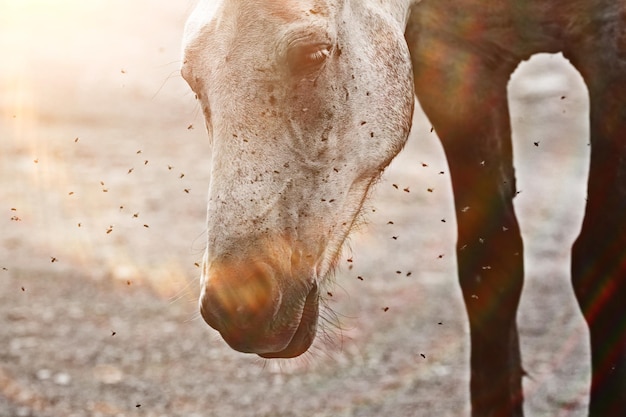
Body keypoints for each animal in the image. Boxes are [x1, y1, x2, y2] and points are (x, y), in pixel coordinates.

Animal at [180, 1, 624, 414]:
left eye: (315, 54)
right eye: (192, 79)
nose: (237, 304)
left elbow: (601, 266)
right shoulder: (456, 63)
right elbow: (490, 270)